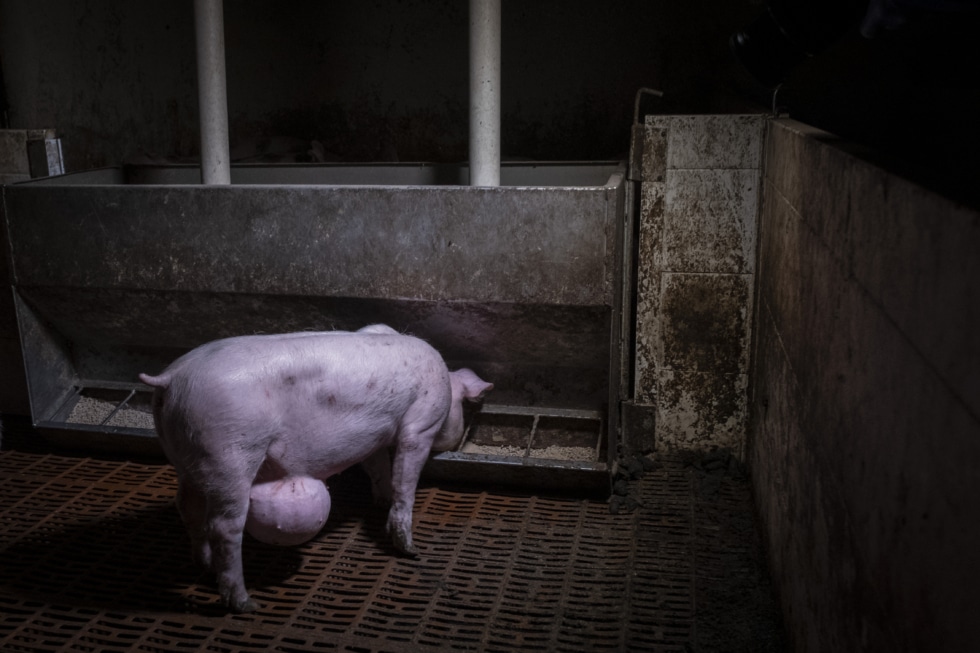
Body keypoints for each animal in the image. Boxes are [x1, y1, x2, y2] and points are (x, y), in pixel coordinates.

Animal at [140, 326, 490, 612]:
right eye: (464, 406)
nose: (461, 436)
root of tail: (172, 379)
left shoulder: (375, 437)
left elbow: (378, 468)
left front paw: (380, 501)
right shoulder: (421, 422)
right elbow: (405, 477)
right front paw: (410, 550)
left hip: (186, 458)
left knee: (187, 507)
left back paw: (204, 566)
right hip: (230, 453)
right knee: (224, 525)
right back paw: (244, 603)